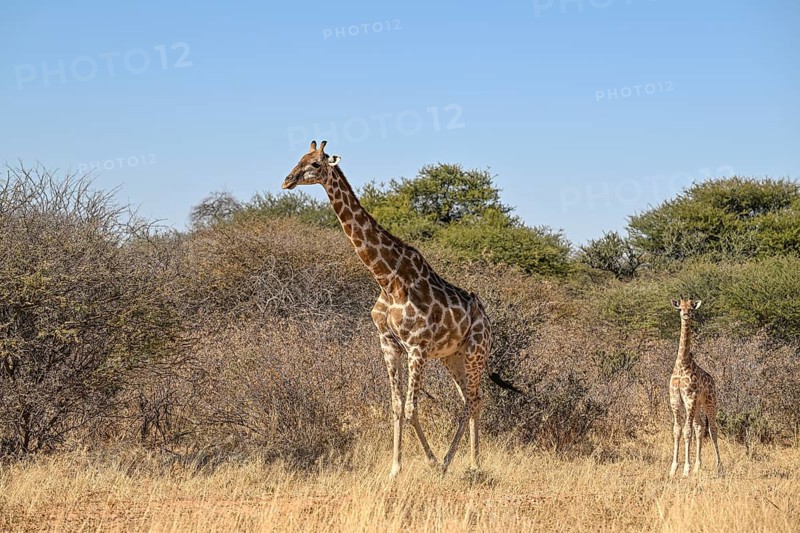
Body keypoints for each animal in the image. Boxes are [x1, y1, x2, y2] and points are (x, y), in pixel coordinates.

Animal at [282, 140, 520, 477]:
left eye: (316, 163)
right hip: (452, 356)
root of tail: (486, 319)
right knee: (470, 398)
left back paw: (463, 462)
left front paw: (429, 461)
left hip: (476, 350)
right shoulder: (389, 344)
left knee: (474, 400)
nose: (287, 180)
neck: (387, 279)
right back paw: (460, 460)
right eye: (299, 158)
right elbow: (396, 407)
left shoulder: (416, 348)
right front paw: (395, 468)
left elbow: (410, 408)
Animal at [668, 297, 722, 478]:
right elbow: (677, 430)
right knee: (699, 427)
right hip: (698, 404)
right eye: (680, 308)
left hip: (710, 402)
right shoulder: (675, 400)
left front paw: (686, 469)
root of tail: (713, 380)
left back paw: (719, 467)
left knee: (712, 429)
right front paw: (673, 469)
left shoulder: (689, 399)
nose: (685, 315)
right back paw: (698, 466)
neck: (682, 364)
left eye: (691, 309)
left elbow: (687, 431)